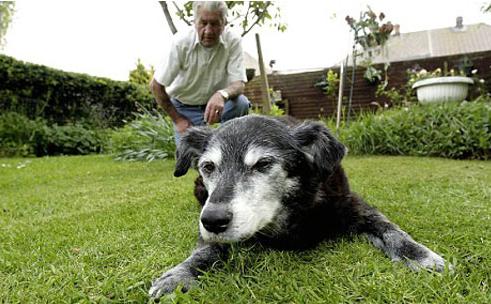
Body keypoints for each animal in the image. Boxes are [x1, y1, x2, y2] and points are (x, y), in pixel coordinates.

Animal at [148, 115, 448, 298]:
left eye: (263, 164)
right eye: (209, 167)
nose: (212, 220)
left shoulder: (351, 205)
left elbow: (390, 229)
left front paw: (418, 255)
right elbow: (206, 250)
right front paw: (179, 274)